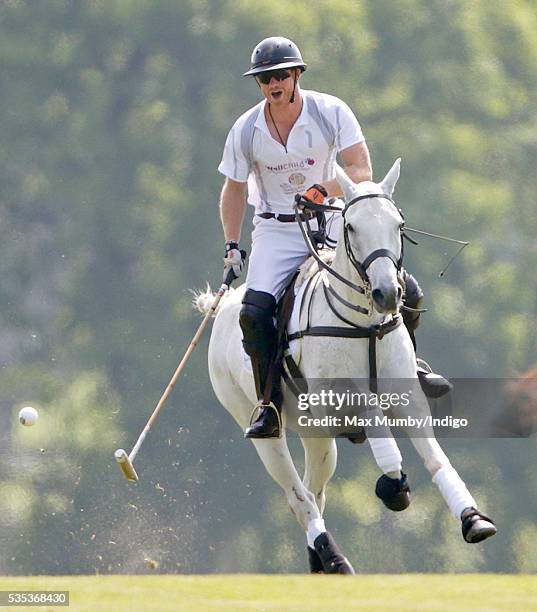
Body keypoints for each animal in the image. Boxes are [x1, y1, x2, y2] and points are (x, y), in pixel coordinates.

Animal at [197, 159, 494, 572]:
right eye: (351, 227)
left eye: (398, 225)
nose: (387, 294)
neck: (364, 324)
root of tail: (223, 306)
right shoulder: (337, 403)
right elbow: (380, 430)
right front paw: (394, 487)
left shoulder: (409, 400)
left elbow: (436, 458)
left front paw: (473, 519)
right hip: (258, 422)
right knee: (298, 496)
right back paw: (335, 559)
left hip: (316, 435)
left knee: (313, 490)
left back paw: (320, 562)